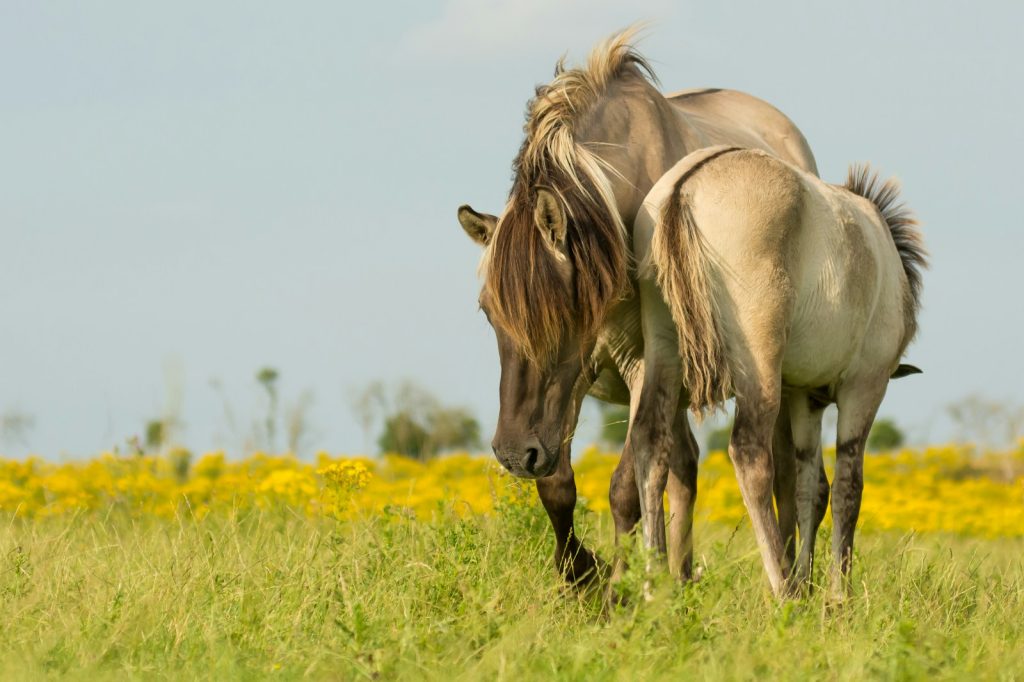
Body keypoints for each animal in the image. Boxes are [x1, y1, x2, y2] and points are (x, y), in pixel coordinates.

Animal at [457, 27, 819, 586]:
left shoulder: (641, 366)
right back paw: (679, 576)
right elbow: (558, 487)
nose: (515, 454)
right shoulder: (576, 380)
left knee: (778, 471)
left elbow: (624, 487)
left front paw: (618, 588)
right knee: (684, 467)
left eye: (565, 312)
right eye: (488, 313)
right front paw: (580, 574)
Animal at [628, 146, 926, 598]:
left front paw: (809, 583)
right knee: (749, 453)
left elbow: (809, 489)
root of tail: (685, 188)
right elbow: (847, 488)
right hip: (759, 366)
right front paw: (836, 594)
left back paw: (652, 588)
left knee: (650, 442)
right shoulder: (864, 387)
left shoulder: (804, 398)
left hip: (663, 350)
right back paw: (782, 589)